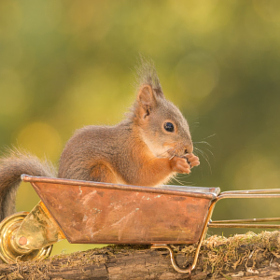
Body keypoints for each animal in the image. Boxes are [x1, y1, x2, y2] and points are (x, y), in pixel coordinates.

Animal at [0, 59, 199, 221]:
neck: (139, 137)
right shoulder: (126, 152)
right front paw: (175, 164)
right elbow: (140, 175)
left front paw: (193, 159)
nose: (188, 149)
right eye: (169, 126)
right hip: (99, 172)